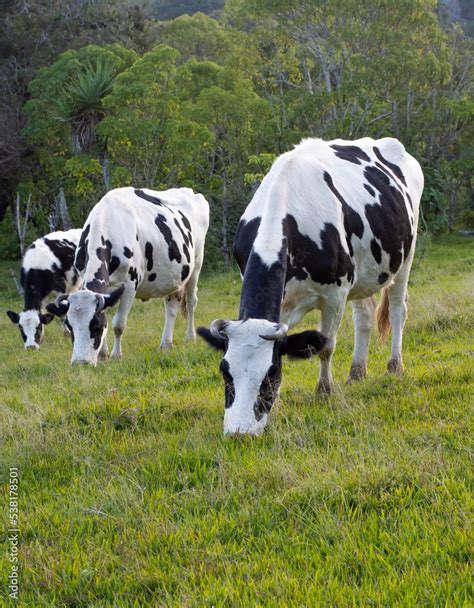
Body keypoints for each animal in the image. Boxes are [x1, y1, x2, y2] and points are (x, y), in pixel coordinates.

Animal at [47, 188, 208, 364]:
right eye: (69, 326)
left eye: (95, 325)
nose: (81, 362)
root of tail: (190, 191)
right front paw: (103, 355)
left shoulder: (130, 285)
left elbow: (118, 324)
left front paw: (116, 355)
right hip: (173, 276)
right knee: (171, 304)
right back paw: (165, 344)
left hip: (196, 264)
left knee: (192, 301)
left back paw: (190, 337)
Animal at [198, 137, 424, 436]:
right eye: (225, 371)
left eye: (271, 373)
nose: (239, 433)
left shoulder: (335, 295)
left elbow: (325, 346)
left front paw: (324, 391)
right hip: (365, 272)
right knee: (364, 317)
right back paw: (357, 372)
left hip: (406, 255)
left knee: (398, 310)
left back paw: (394, 367)